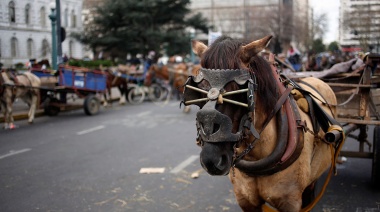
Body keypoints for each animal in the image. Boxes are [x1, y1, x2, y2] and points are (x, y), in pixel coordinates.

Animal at [183, 35, 346, 211]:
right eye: (199, 90)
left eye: (239, 92)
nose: (211, 159)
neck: (256, 156)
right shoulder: (246, 200)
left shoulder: (290, 202)